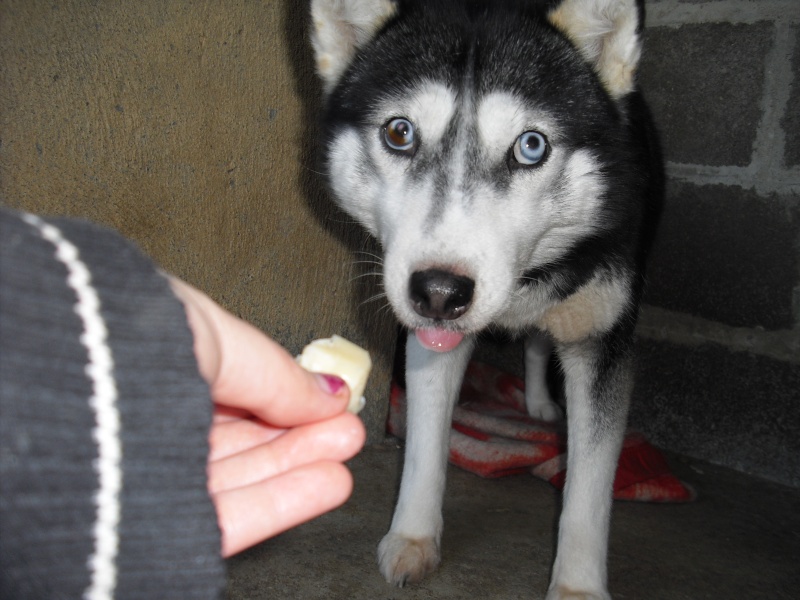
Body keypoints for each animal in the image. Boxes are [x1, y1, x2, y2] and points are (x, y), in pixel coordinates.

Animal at [310, 1, 664, 596]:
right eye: (400, 132)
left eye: (531, 145)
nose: (438, 292)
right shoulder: (432, 335)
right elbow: (426, 443)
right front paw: (414, 538)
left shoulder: (603, 339)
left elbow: (588, 490)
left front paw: (577, 585)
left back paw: (541, 405)